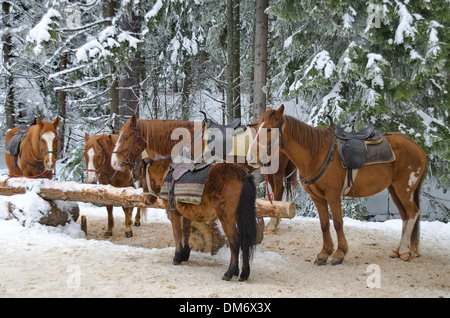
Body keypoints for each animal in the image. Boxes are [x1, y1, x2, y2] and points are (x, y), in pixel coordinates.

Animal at [110, 114, 298, 231]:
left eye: (126, 137)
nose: (114, 163)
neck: (192, 141)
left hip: (277, 171)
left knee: (278, 192)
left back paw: (274, 223)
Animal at [248, 105, 428, 264]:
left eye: (269, 129)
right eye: (257, 128)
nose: (250, 157)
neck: (315, 154)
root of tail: (416, 146)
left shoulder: (333, 195)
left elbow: (337, 223)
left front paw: (339, 253)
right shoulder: (317, 197)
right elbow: (324, 224)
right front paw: (324, 254)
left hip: (405, 188)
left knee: (412, 213)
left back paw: (404, 250)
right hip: (394, 189)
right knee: (405, 216)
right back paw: (399, 250)